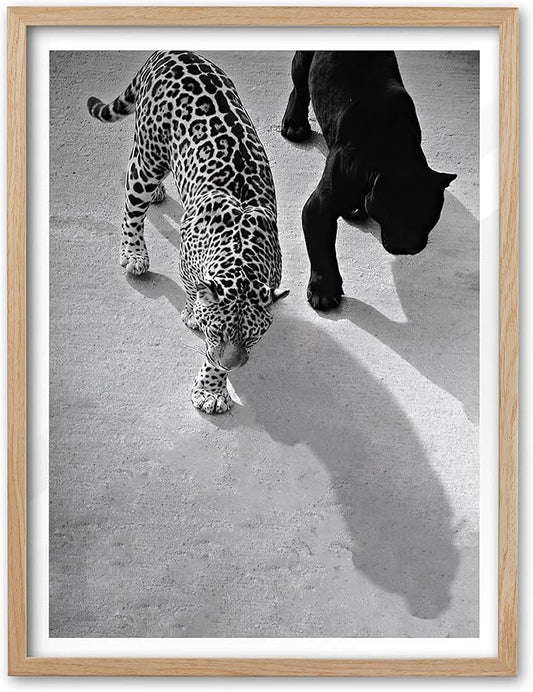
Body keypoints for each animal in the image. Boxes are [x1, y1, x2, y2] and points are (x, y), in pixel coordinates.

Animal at [87, 51, 288, 414]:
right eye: (217, 332)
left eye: (252, 336)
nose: (233, 363)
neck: (241, 253)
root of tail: (171, 52)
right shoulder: (190, 264)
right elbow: (194, 294)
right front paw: (195, 318)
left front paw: (213, 387)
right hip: (147, 157)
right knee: (132, 205)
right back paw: (133, 252)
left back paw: (157, 195)